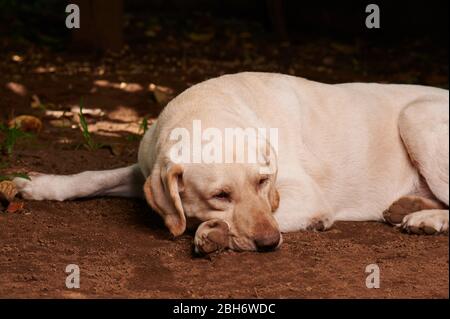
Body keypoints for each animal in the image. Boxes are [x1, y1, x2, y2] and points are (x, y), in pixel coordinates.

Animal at [12, 72, 448, 252]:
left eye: (262, 182)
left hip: (417, 117)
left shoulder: (303, 195)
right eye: (220, 194)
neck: (206, 108)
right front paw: (38, 184)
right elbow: (93, 177)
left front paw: (213, 231)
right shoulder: (147, 170)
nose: (270, 243)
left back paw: (426, 219)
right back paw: (407, 206)